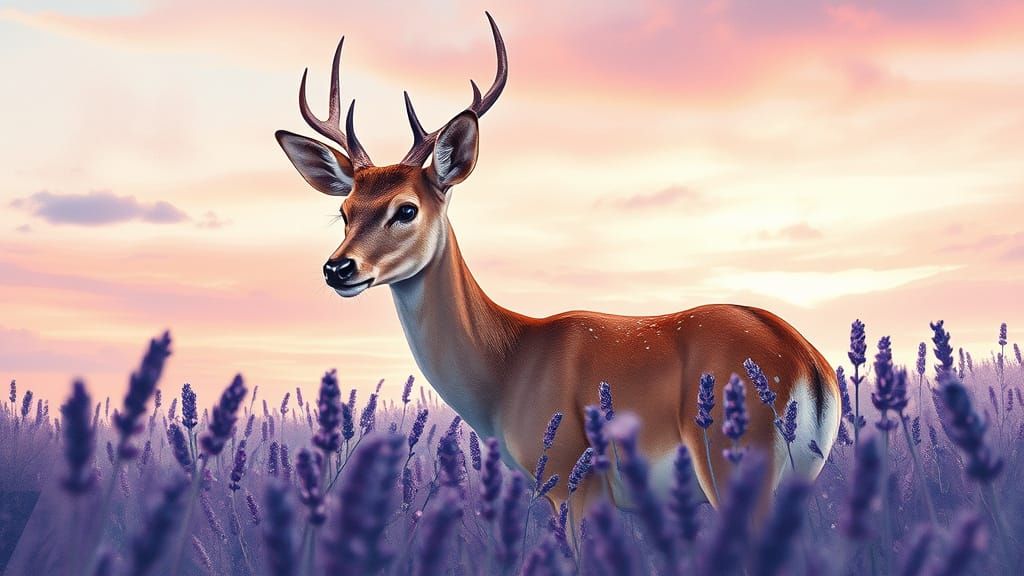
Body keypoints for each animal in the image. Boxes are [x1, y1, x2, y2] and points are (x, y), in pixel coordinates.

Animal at [275, 13, 840, 521]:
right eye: (345, 211)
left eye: (406, 209)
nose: (338, 269)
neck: (508, 366)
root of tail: (809, 364)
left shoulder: (573, 478)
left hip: (731, 466)